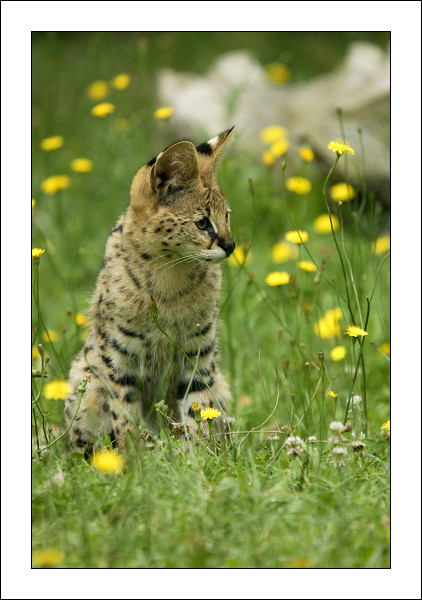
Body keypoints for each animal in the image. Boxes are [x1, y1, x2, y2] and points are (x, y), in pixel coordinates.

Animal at [66, 127, 237, 454]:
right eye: (202, 223)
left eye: (227, 216)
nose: (231, 246)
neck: (169, 274)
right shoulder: (120, 356)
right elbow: (124, 417)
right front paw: (131, 461)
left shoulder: (199, 352)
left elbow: (200, 408)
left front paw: (201, 459)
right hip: (86, 378)